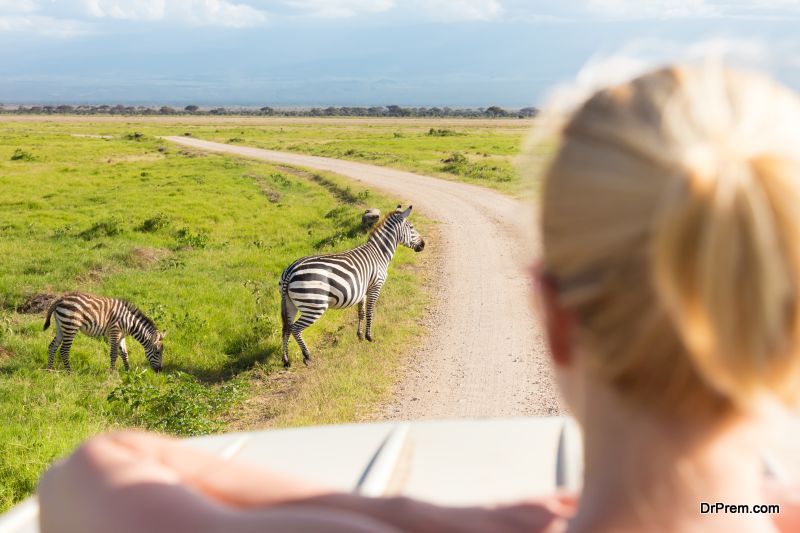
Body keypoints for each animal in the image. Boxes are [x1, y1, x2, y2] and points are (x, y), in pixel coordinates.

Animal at [280, 204, 424, 366]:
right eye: (411, 227)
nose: (423, 245)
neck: (379, 253)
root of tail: (291, 271)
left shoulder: (363, 290)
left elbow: (361, 313)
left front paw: (359, 335)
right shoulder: (375, 286)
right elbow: (370, 312)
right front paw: (369, 337)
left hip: (290, 304)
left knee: (286, 328)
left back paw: (286, 360)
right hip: (315, 305)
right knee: (296, 328)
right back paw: (307, 356)